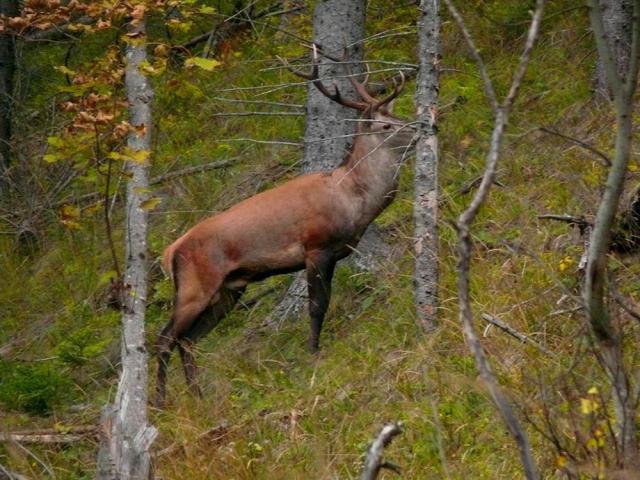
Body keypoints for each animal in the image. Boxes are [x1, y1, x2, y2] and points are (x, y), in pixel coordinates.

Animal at [154, 45, 416, 406]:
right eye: (386, 125)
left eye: (397, 116)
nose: (421, 128)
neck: (354, 200)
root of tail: (169, 252)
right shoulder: (315, 247)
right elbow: (316, 306)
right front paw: (313, 351)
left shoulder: (334, 253)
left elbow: (325, 301)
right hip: (195, 285)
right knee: (164, 338)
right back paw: (160, 402)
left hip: (229, 290)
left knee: (188, 340)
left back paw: (198, 396)